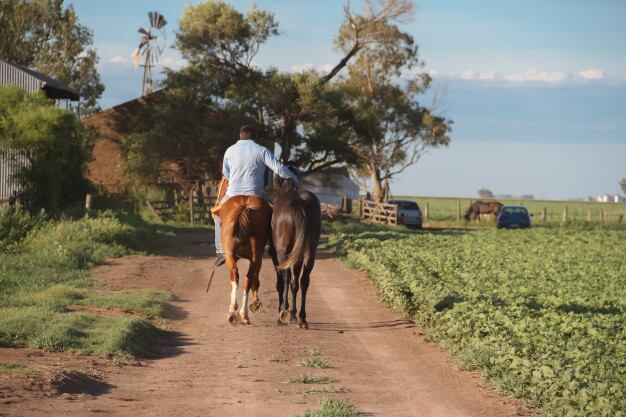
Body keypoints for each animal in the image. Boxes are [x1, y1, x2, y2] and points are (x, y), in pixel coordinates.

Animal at [219, 195, 270, 324]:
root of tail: (244, 206)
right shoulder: (257, 259)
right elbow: (255, 280)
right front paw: (255, 303)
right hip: (255, 257)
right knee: (247, 279)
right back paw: (242, 313)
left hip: (232, 255)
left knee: (236, 276)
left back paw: (235, 312)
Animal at [270, 176, 320, 328]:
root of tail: (300, 204)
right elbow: (295, 281)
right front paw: (292, 313)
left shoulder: (276, 256)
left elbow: (282, 281)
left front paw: (284, 309)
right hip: (309, 250)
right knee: (303, 281)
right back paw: (301, 318)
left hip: (282, 252)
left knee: (287, 277)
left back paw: (284, 313)